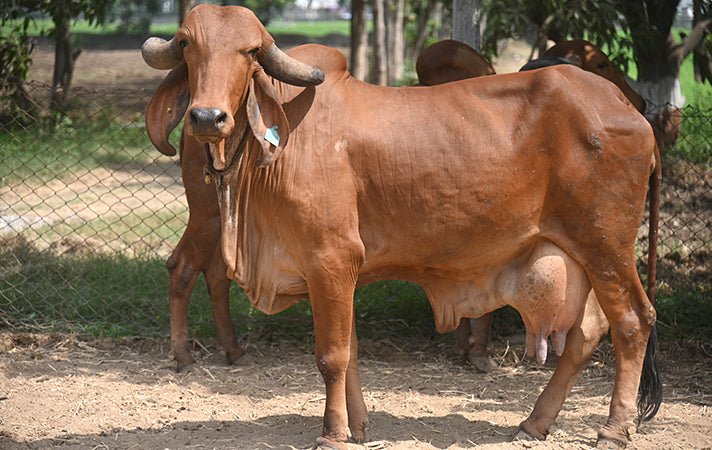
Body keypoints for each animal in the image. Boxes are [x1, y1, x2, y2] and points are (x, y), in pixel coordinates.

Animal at [142, 5, 661, 447]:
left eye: (250, 51)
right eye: (186, 44)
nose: (207, 117)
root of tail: (631, 110)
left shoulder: (330, 259)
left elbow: (331, 356)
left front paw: (332, 434)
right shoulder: (335, 272)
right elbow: (349, 351)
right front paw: (356, 426)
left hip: (606, 246)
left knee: (633, 321)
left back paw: (614, 430)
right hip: (581, 254)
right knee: (588, 332)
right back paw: (535, 422)